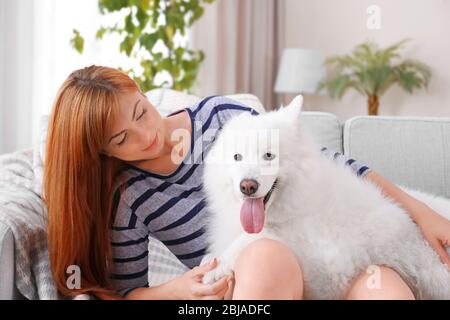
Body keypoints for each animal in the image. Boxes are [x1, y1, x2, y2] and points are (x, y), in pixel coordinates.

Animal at [200, 95, 450, 300]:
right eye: (237, 157)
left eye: (269, 156)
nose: (247, 186)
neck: (298, 201)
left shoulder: (320, 253)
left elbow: (253, 239)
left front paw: (216, 267)